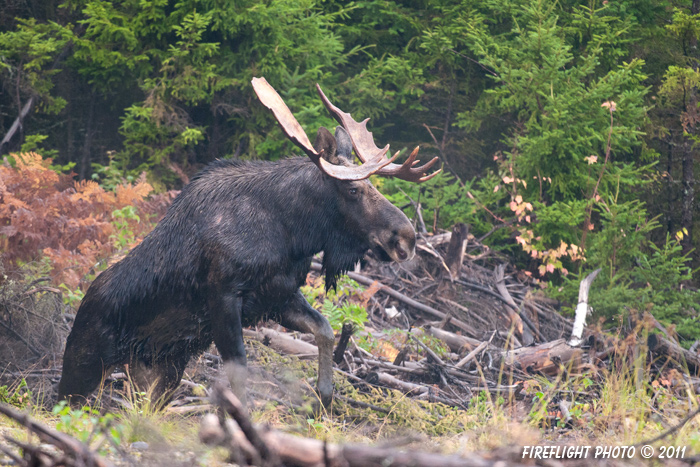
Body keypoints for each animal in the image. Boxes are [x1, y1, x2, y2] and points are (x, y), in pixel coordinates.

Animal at [58, 78, 438, 412]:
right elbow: (239, 366)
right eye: (354, 189)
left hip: (163, 368)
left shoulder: (278, 295)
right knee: (63, 405)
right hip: (83, 361)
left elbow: (325, 329)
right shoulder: (224, 295)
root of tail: (80, 305)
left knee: (143, 408)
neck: (292, 232)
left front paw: (324, 397)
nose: (406, 237)